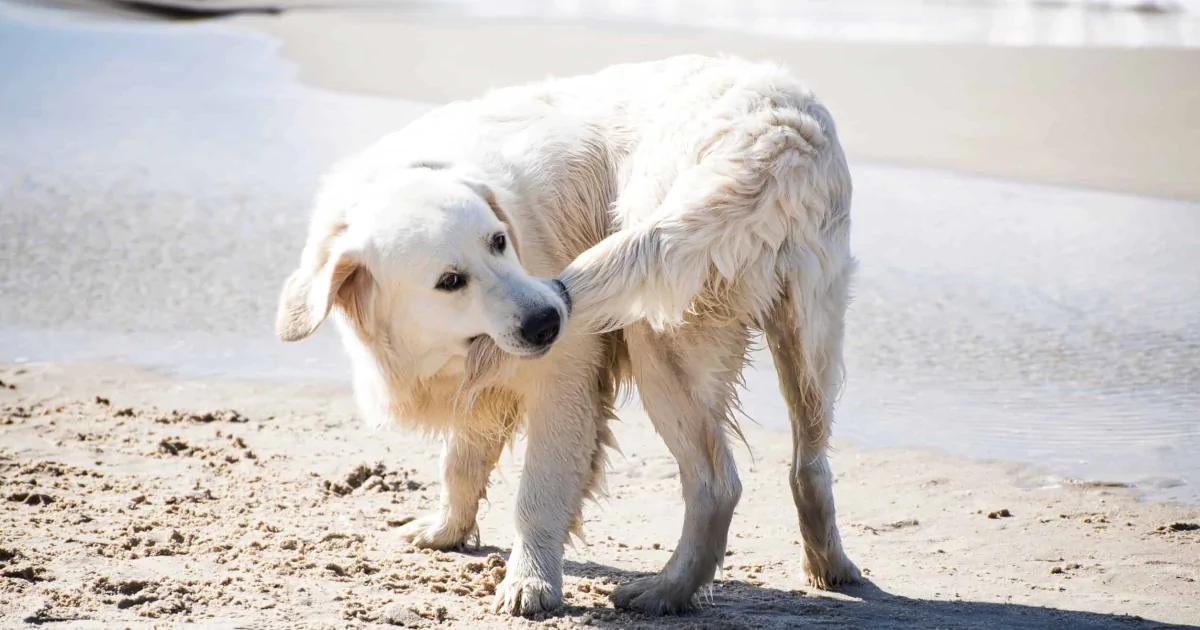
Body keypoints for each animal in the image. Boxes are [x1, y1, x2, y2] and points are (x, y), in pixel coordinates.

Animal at [276, 54, 859, 614]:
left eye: (498, 241)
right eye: (450, 281)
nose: (548, 320)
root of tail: (777, 135)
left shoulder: (565, 377)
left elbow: (538, 493)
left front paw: (530, 583)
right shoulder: (481, 383)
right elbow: (460, 462)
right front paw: (446, 531)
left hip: (660, 334)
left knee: (717, 484)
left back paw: (666, 591)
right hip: (808, 336)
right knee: (809, 465)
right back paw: (830, 567)